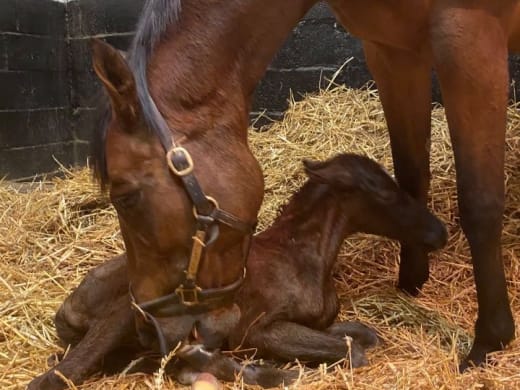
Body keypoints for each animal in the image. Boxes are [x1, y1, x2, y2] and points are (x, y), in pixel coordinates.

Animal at [27, 154, 446, 388]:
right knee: (57, 375)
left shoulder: (319, 323)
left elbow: (365, 337)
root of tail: (68, 306)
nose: (438, 231)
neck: (304, 257)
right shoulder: (260, 328)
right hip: (128, 313)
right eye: (384, 192)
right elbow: (354, 352)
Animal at [89, 0, 516, 374]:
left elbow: (480, 203)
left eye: (125, 197)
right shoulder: (392, 51)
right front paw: (411, 280)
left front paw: (490, 339)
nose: (148, 328)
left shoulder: (471, 41)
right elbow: (410, 173)